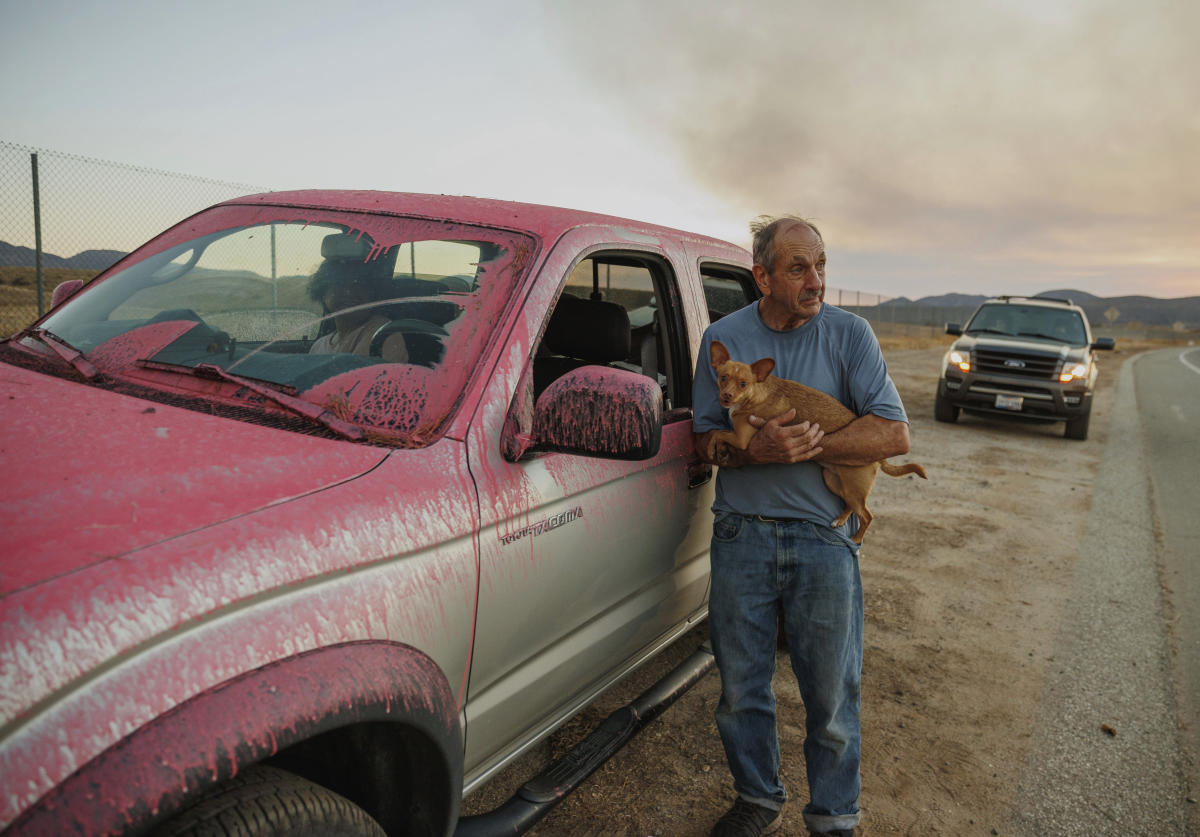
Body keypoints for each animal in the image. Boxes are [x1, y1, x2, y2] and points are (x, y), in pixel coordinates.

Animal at [705, 338, 921, 542]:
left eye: (743, 384)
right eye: (723, 378)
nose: (727, 395)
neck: (755, 393)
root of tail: (879, 459)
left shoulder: (742, 439)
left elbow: (718, 433)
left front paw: (710, 448)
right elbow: (719, 432)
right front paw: (717, 449)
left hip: (853, 489)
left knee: (867, 516)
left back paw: (856, 538)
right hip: (834, 482)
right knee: (852, 507)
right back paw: (840, 520)